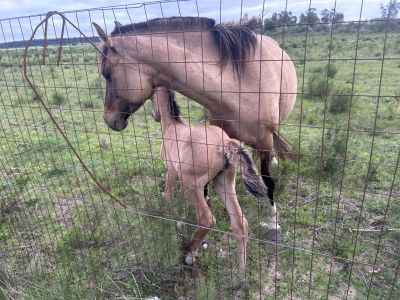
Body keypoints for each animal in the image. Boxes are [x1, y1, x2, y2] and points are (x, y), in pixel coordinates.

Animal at [93, 16, 296, 241]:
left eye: (107, 74)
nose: (108, 118)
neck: (238, 85)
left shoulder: (264, 140)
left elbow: (268, 182)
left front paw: (273, 224)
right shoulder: (218, 133)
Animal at [152, 86, 268, 270]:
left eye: (151, 98)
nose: (154, 115)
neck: (173, 125)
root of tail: (224, 143)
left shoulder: (172, 171)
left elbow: (168, 197)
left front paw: (169, 223)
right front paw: (181, 222)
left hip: (192, 185)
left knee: (207, 219)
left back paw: (189, 254)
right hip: (223, 183)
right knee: (240, 222)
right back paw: (240, 270)